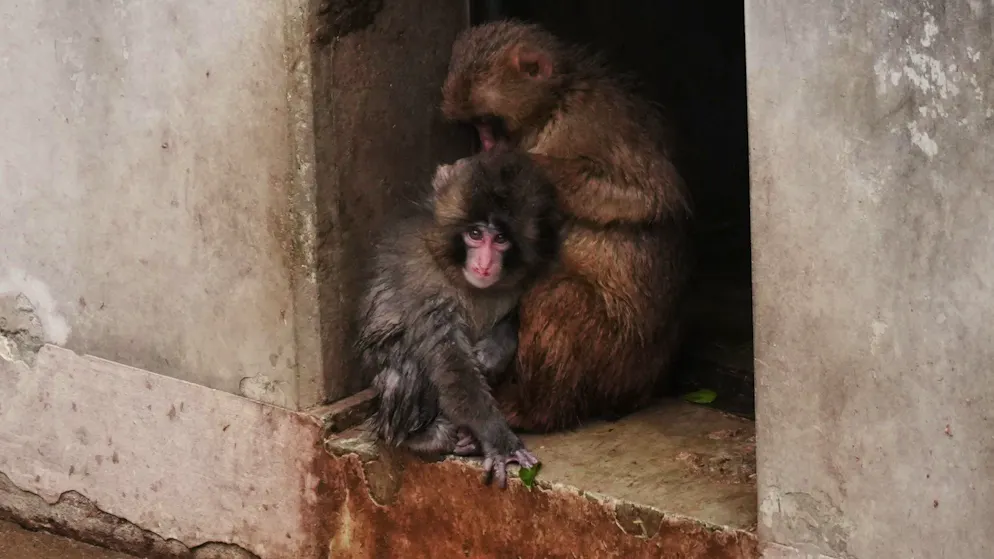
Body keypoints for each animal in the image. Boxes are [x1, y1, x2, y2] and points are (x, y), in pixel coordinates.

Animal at [356, 148, 562, 488]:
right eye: (475, 234)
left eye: (500, 238)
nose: (484, 264)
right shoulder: (423, 278)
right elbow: (451, 362)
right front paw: (498, 439)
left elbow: (516, 316)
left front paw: (494, 350)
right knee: (405, 367)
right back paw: (427, 438)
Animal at [440, 20, 692, 433]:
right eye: (477, 126)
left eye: (490, 123)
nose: (486, 144)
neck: (555, 104)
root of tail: (646, 388)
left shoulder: (590, 121)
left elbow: (649, 196)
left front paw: (523, 165)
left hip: (616, 357)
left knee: (557, 298)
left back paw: (533, 411)